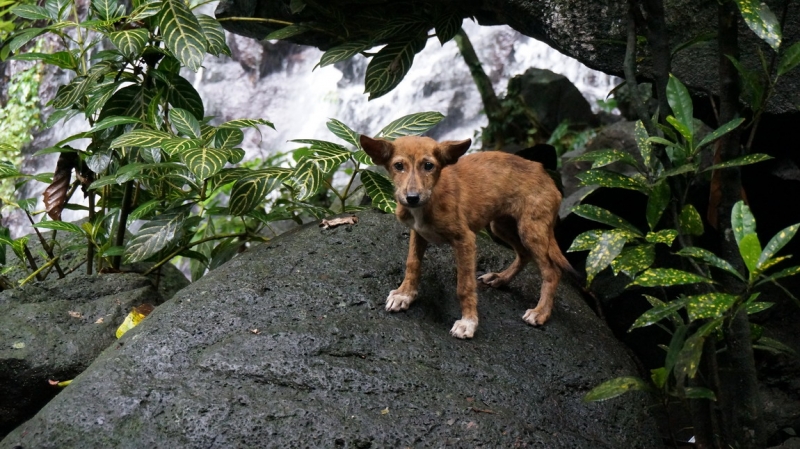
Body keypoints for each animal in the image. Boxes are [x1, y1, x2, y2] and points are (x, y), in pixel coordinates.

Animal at [360, 135, 572, 338]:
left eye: (428, 165)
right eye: (398, 166)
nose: (412, 198)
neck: (429, 200)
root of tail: (545, 174)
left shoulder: (465, 239)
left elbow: (464, 285)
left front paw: (468, 322)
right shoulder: (418, 232)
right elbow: (412, 263)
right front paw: (404, 294)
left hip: (531, 229)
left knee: (552, 271)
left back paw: (540, 312)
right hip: (501, 225)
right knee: (523, 254)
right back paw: (500, 278)